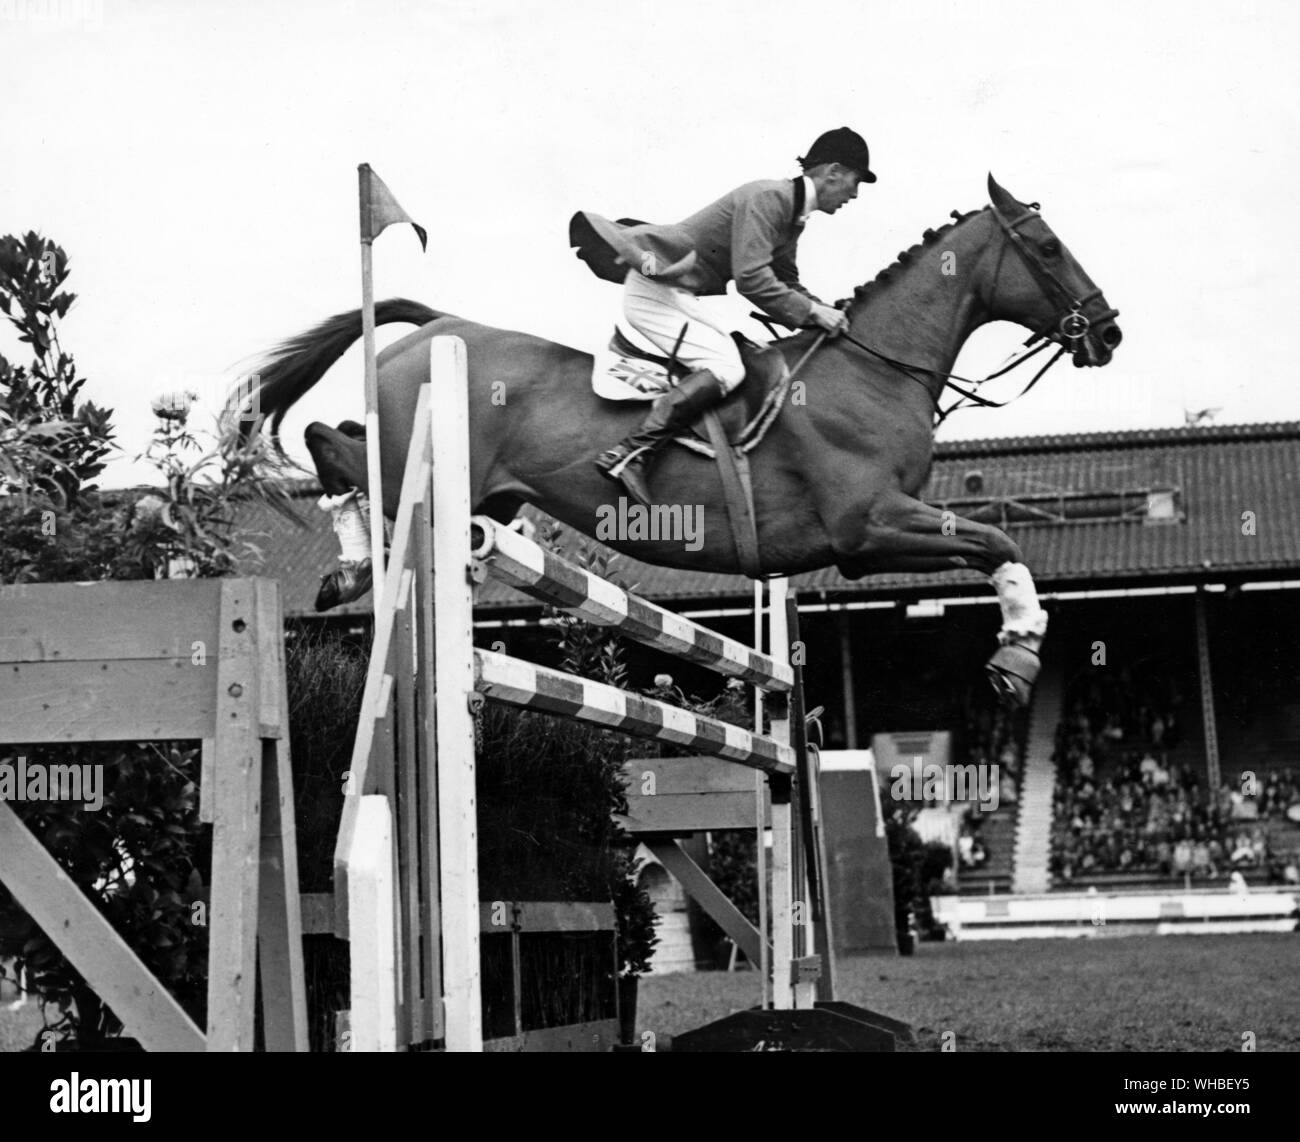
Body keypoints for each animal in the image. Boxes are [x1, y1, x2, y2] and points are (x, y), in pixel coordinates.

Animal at [239, 175, 1123, 707]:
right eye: (1047, 248)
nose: (1110, 331)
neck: (872, 369)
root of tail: (440, 325)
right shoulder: (868, 527)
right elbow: (1001, 541)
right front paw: (1017, 658)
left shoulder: (869, 544)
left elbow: (992, 543)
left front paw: (1015, 653)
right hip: (408, 463)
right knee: (329, 443)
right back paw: (351, 568)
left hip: (476, 488)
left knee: (339, 440)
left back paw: (353, 569)